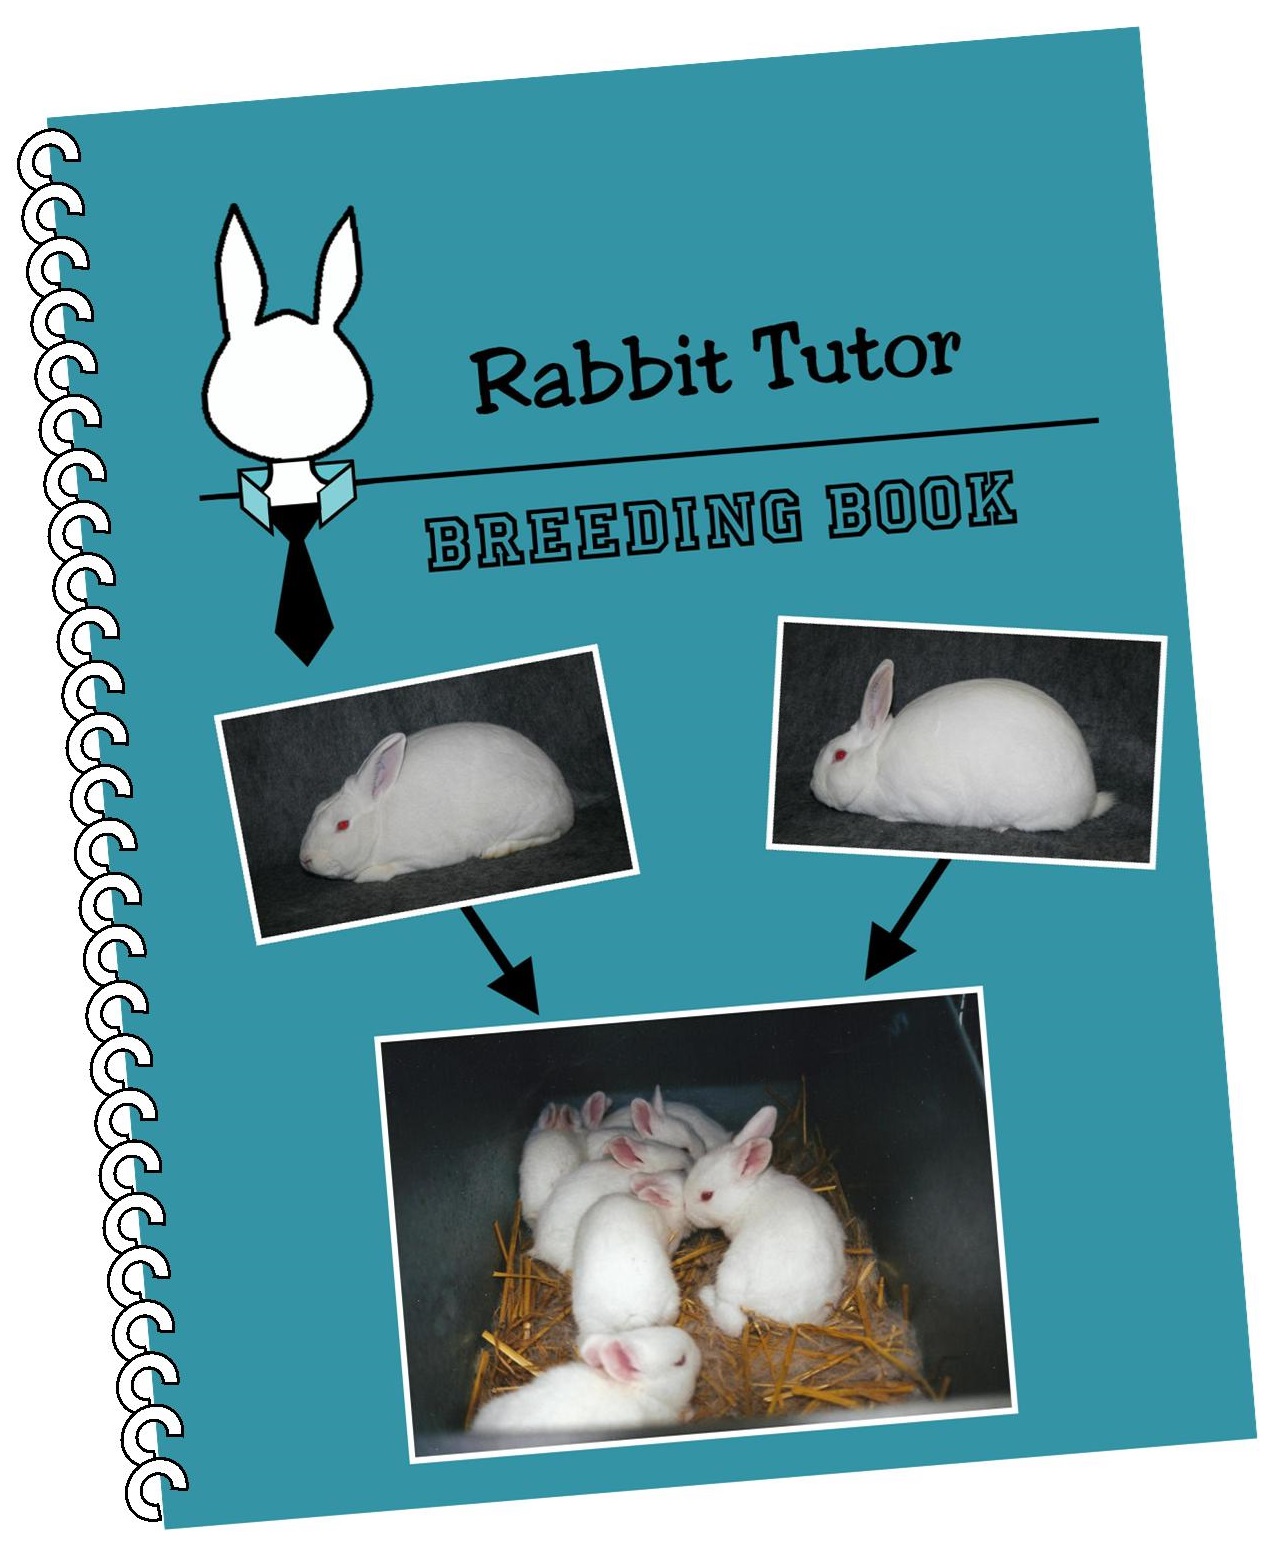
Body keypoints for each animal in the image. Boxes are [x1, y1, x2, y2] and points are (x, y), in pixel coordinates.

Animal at [299, 722, 575, 882]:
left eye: (343, 824)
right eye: (316, 811)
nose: (305, 859)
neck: (379, 823)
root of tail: (567, 804)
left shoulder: (420, 856)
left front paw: (370, 875)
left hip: (531, 817)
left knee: (550, 835)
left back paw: (495, 850)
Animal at [683, 1104, 846, 1337]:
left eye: (707, 1195)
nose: (685, 1208)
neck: (748, 1196)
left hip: (731, 1272)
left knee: (733, 1323)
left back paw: (706, 1293)